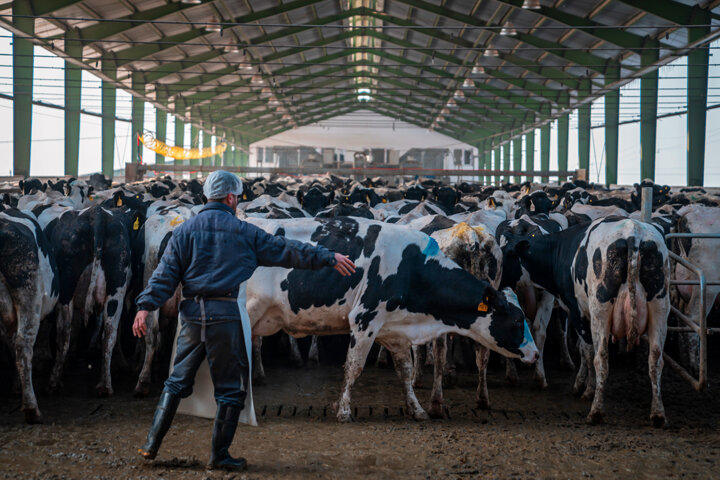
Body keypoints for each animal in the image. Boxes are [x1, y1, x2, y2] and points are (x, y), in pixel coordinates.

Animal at [245, 218, 536, 424]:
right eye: (517, 320)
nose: (534, 353)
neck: (411, 267)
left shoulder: (394, 331)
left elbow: (405, 371)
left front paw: (416, 409)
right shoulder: (364, 319)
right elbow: (354, 367)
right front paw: (344, 410)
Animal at [504, 218, 672, 428]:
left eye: (506, 253)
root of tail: (633, 234)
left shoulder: (578, 311)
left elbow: (586, 350)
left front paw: (584, 388)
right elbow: (583, 349)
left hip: (601, 309)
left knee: (601, 359)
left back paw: (596, 412)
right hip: (660, 309)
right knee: (655, 360)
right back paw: (658, 414)